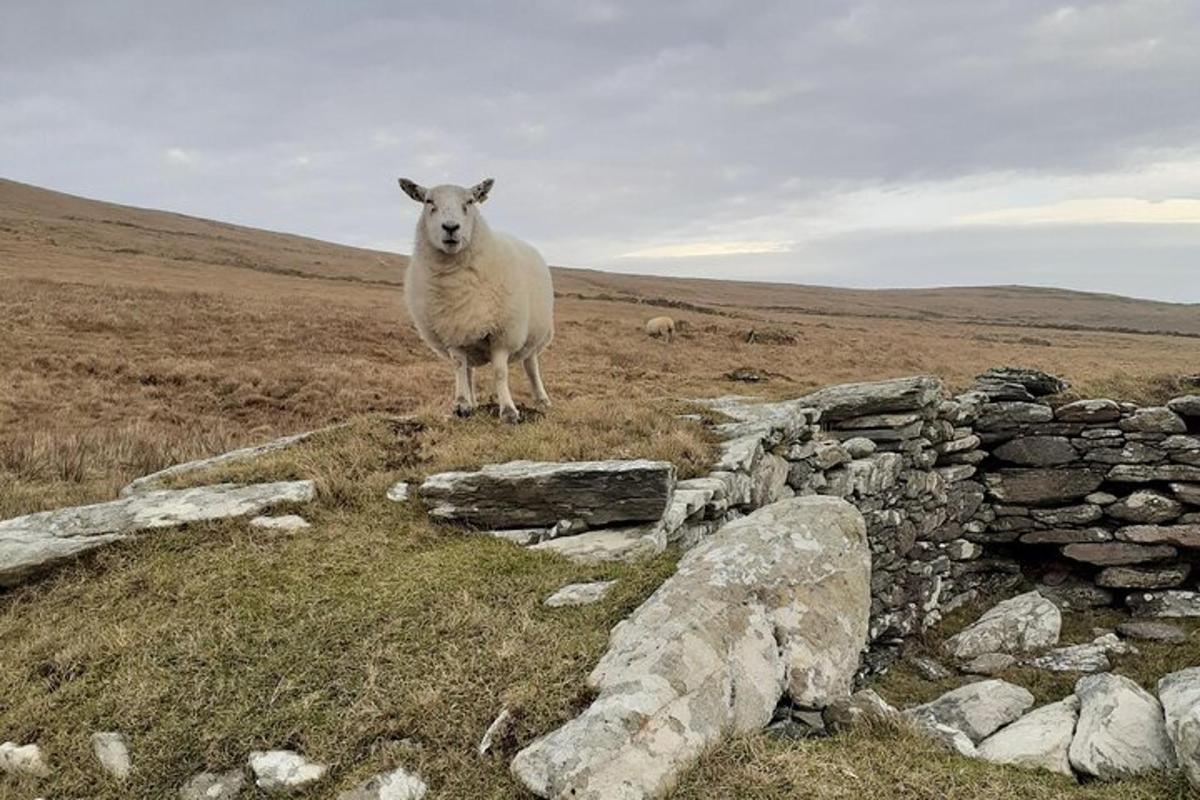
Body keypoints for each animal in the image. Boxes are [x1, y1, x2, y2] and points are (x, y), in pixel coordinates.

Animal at [400, 176, 554, 424]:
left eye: (470, 201)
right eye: (428, 201)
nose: (451, 227)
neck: (456, 284)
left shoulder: (503, 333)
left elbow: (500, 372)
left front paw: (509, 411)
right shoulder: (452, 329)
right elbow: (458, 366)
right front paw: (462, 405)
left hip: (534, 335)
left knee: (531, 365)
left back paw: (542, 400)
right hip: (467, 336)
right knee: (468, 369)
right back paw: (471, 402)